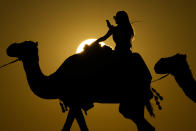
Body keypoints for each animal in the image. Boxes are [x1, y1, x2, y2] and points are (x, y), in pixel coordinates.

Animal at [6, 40, 156, 130]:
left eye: (24, 45)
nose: (10, 47)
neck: (56, 80)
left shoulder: (75, 101)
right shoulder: (75, 103)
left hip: (133, 95)